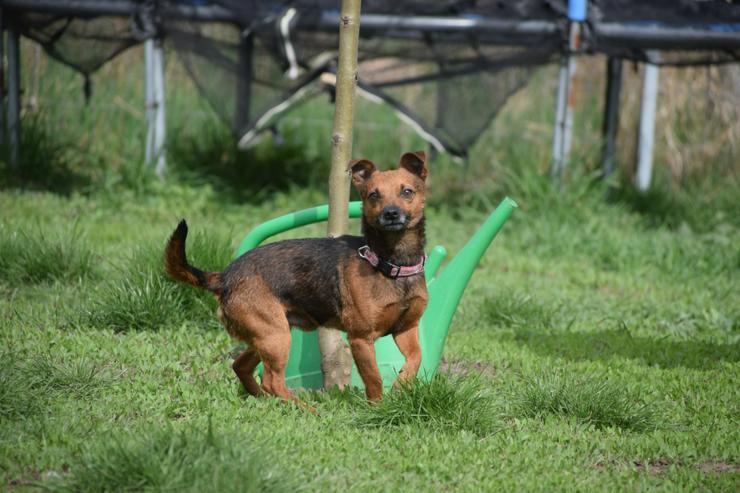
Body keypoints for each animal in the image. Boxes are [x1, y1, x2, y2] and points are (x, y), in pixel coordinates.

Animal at [163, 149, 428, 400]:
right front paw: (377, 407)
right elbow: (373, 380)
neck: (392, 264)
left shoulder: (407, 328)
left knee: (241, 366)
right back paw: (305, 409)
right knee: (273, 382)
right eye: (373, 195)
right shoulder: (361, 338)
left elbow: (417, 357)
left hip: (267, 335)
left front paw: (402, 384)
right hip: (275, 336)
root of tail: (224, 277)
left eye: (407, 192)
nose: (391, 213)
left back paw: (263, 399)